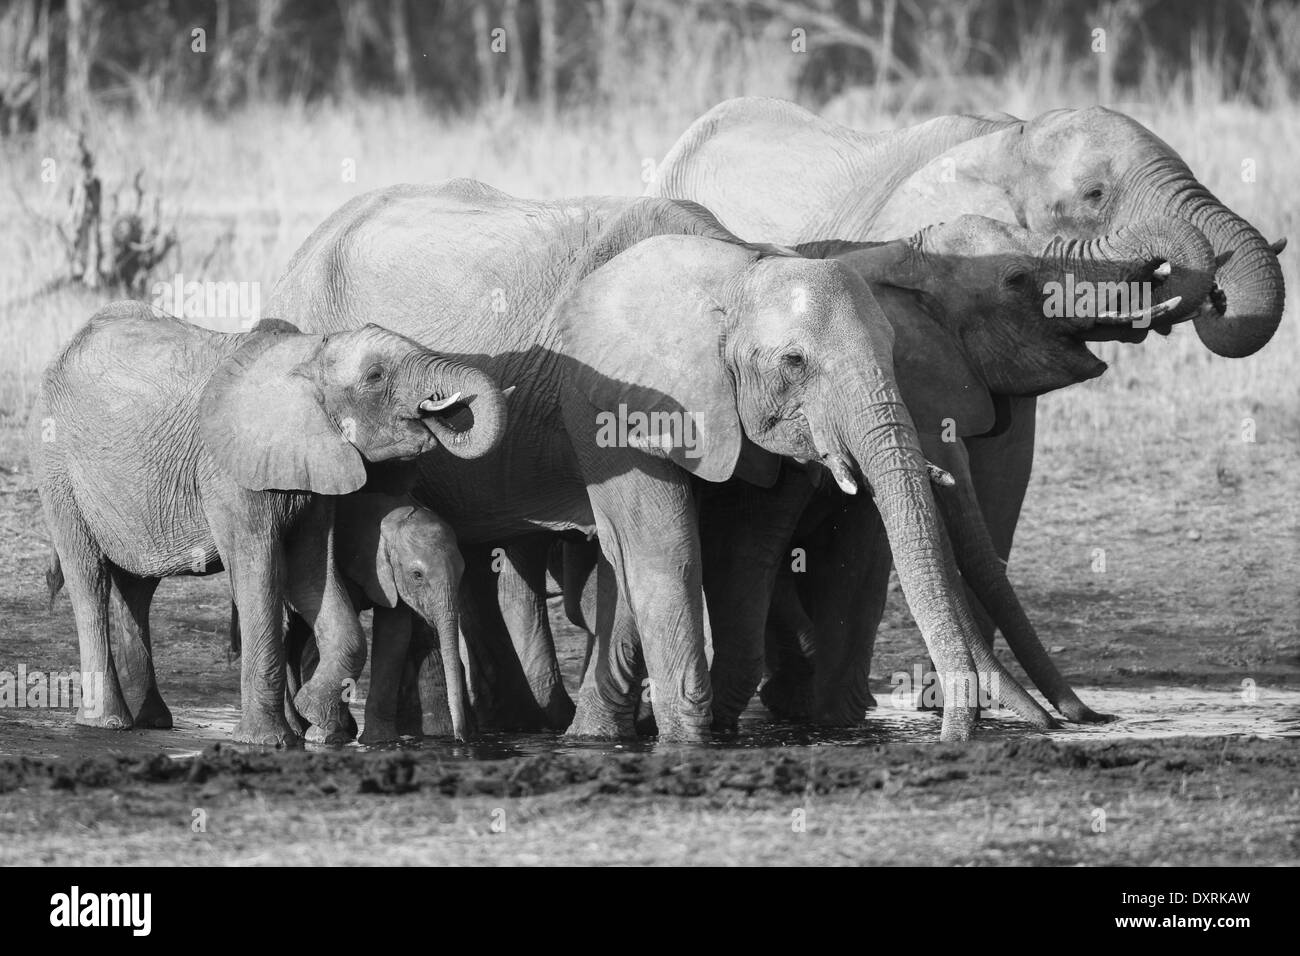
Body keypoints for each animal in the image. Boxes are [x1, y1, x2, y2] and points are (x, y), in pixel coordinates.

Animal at [29, 303, 506, 743]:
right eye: (374, 376)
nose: (442, 410)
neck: (309, 355)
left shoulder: (314, 475)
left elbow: (311, 574)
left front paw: (314, 719)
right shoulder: (229, 470)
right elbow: (260, 571)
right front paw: (269, 740)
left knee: (137, 587)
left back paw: (151, 722)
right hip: (57, 467)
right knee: (88, 577)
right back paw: (106, 723)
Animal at [266, 180, 1034, 749]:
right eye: (795, 362)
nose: (953, 735)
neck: (736, 266)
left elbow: (732, 550)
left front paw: (615, 734)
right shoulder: (608, 391)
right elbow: (663, 548)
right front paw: (681, 740)